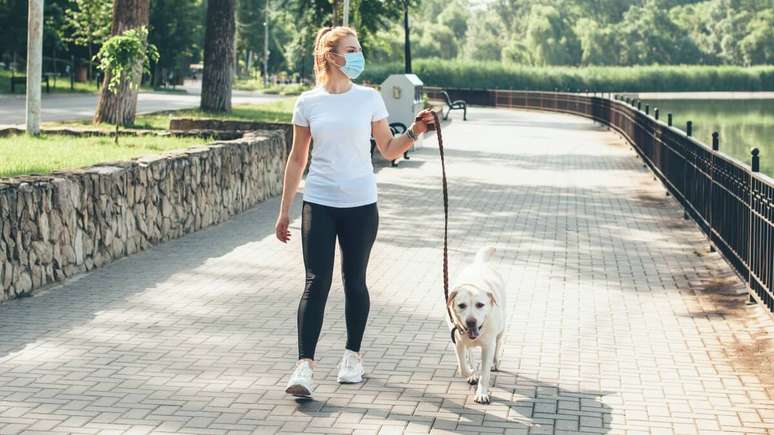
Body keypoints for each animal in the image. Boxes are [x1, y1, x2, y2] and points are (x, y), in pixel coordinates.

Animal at [446, 247, 506, 404]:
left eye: (480, 305)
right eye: (462, 305)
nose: (471, 321)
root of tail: (479, 263)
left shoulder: (488, 346)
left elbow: (485, 374)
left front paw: (482, 393)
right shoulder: (457, 342)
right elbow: (462, 366)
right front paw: (471, 373)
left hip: (501, 329)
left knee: (498, 344)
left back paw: (494, 363)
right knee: (470, 353)